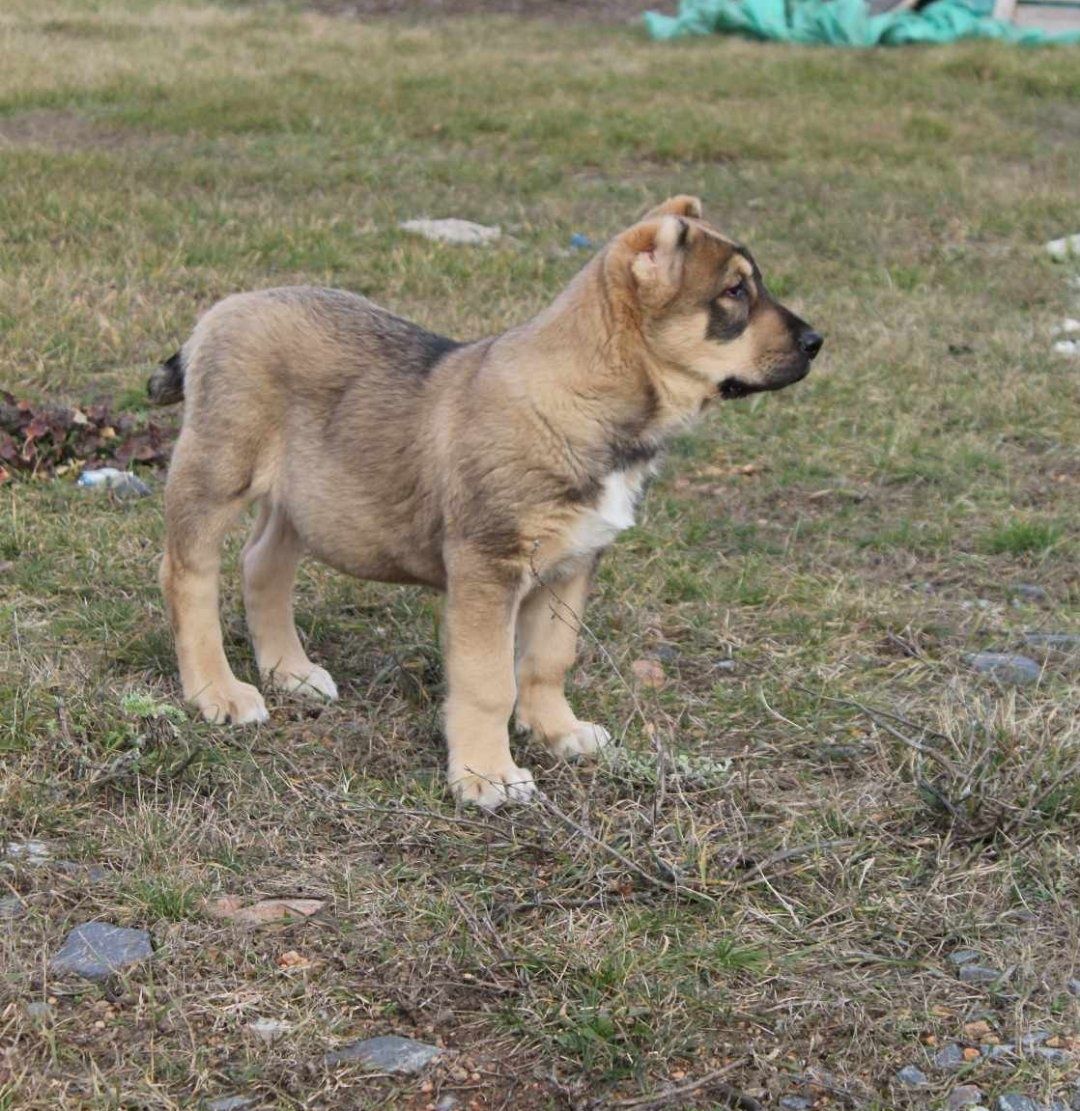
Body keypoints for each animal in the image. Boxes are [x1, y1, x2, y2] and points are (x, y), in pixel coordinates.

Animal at [152, 197, 822, 808]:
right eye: (734, 291)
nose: (817, 341)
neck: (585, 399)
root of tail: (218, 314)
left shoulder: (572, 565)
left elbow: (548, 660)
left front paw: (557, 731)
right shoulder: (488, 569)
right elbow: (488, 681)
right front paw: (486, 774)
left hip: (308, 496)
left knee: (263, 564)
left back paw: (288, 670)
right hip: (218, 470)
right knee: (188, 573)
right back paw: (217, 690)